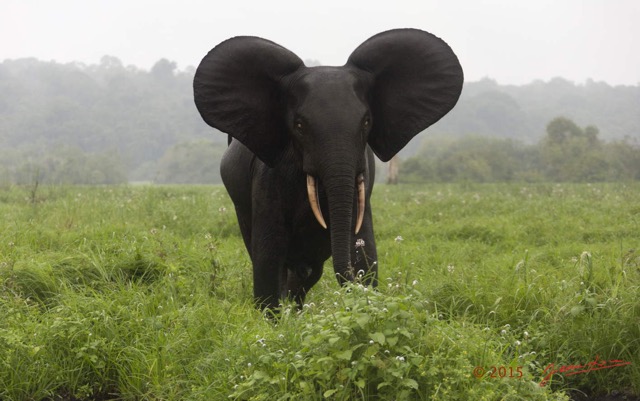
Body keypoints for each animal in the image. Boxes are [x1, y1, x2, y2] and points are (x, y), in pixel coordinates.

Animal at [192, 28, 462, 310]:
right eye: (299, 125)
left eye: (367, 122)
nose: (352, 284)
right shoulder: (268, 178)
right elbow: (268, 256)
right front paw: (276, 318)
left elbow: (364, 249)